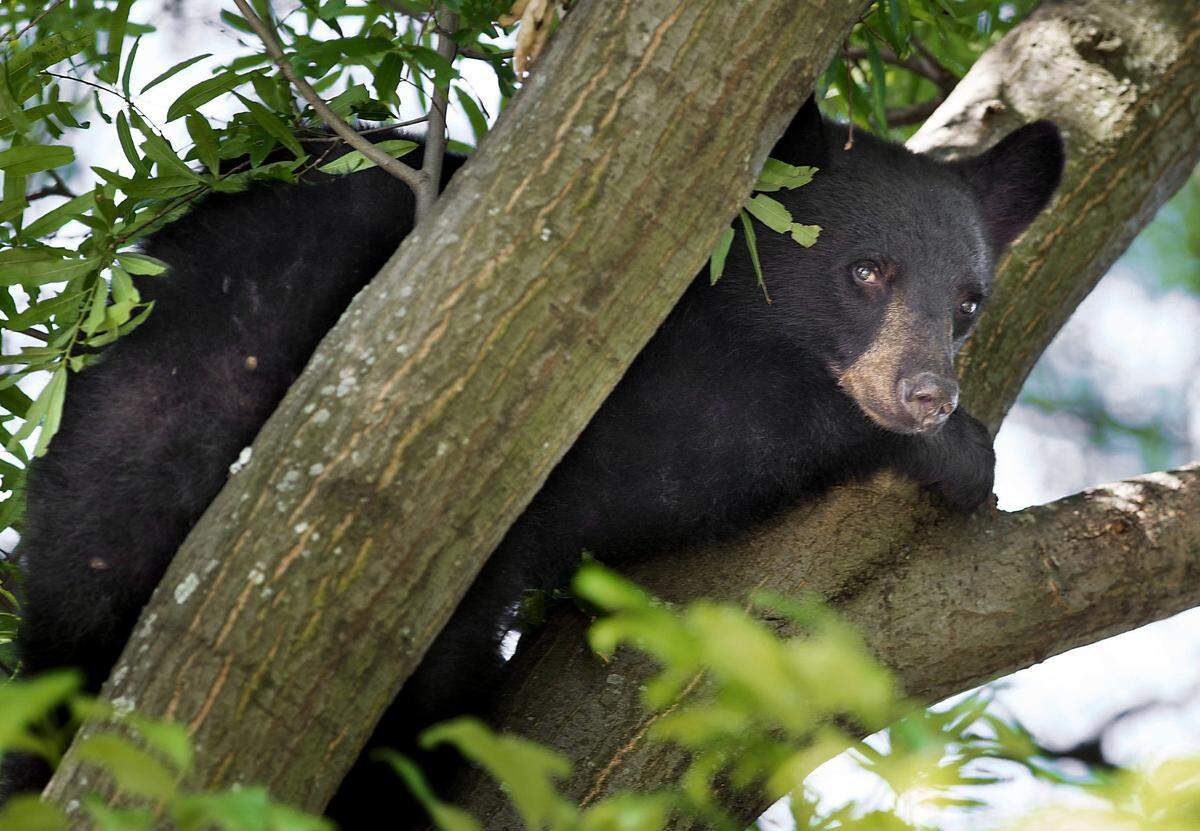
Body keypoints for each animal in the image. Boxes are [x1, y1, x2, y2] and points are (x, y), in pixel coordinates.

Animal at [0, 97, 1064, 827]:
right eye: (866, 270)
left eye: (968, 300)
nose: (927, 392)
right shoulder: (581, 380)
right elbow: (689, 445)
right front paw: (955, 454)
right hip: (193, 367)